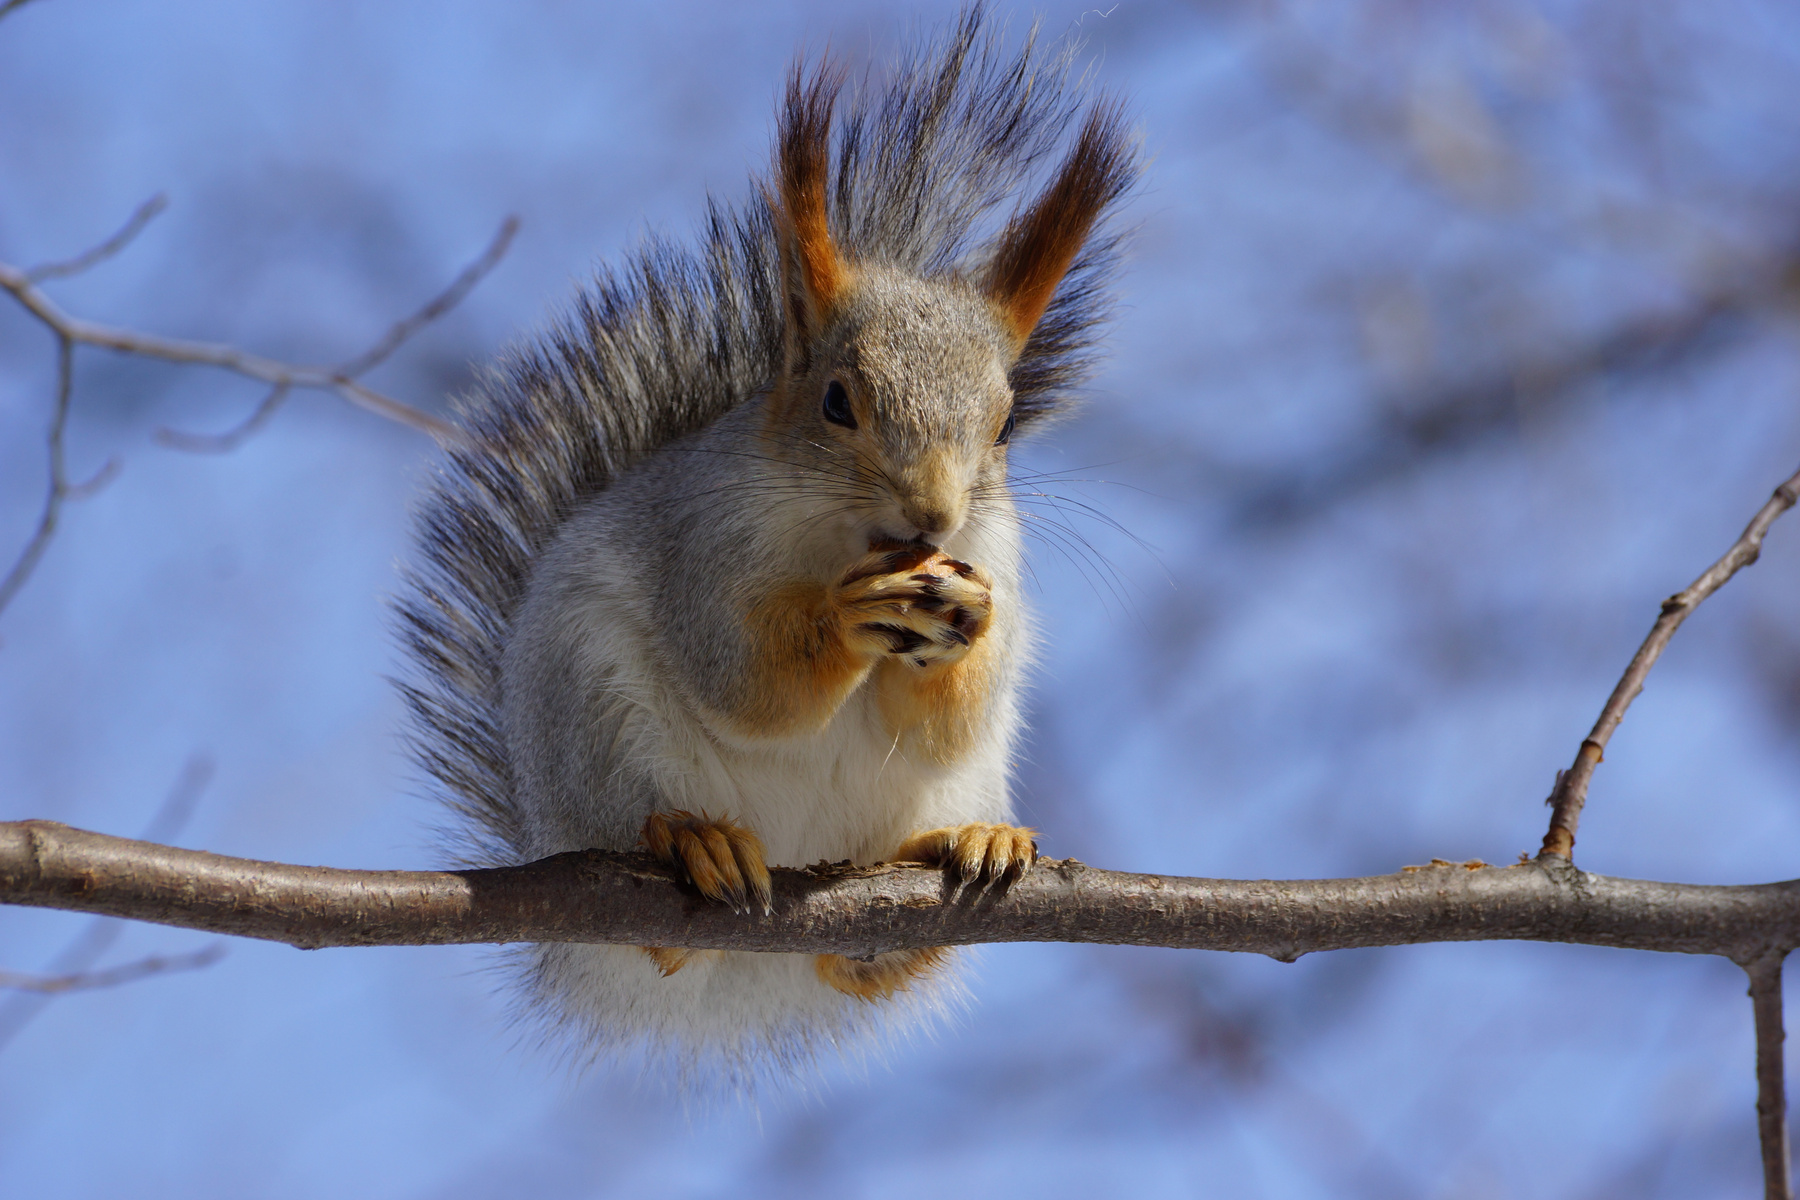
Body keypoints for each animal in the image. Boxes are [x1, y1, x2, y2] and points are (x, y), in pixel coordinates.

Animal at [395, 9, 1137, 1089]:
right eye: (836, 401)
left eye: (1004, 425)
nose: (934, 515)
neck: (854, 540)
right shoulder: (702, 541)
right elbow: (745, 679)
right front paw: (843, 619)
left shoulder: (994, 548)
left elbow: (946, 710)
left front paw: (973, 618)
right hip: (594, 724)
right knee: (655, 917)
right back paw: (694, 842)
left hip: (935, 799)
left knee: (868, 954)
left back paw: (968, 844)